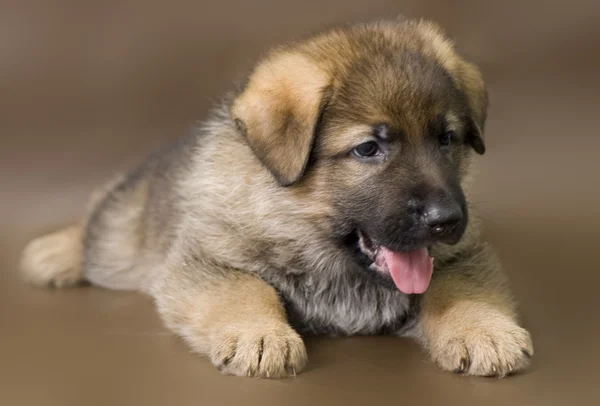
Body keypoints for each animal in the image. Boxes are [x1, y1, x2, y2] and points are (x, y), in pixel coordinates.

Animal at [19, 15, 536, 378]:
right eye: (368, 148)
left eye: (447, 139)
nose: (446, 220)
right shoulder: (205, 260)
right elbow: (247, 288)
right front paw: (259, 336)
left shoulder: (465, 255)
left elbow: (457, 288)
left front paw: (486, 330)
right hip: (121, 235)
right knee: (99, 216)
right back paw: (54, 252)